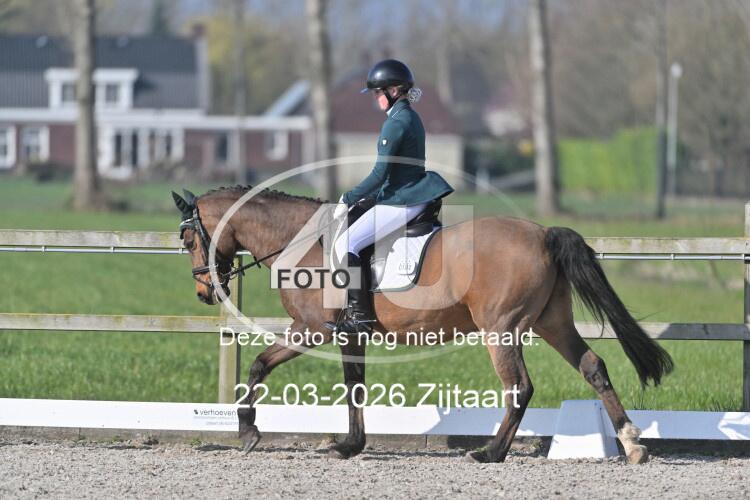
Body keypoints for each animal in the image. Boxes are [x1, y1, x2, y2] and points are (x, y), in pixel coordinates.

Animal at [171, 185, 673, 464]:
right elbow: (355, 386)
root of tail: (542, 233)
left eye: (188, 237)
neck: (300, 240)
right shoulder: (349, 335)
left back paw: (490, 453)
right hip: (552, 323)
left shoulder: (311, 329)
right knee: (593, 367)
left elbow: (259, 365)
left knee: (520, 387)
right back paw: (632, 444)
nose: (203, 291)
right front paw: (349, 445)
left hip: (502, 329)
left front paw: (249, 433)